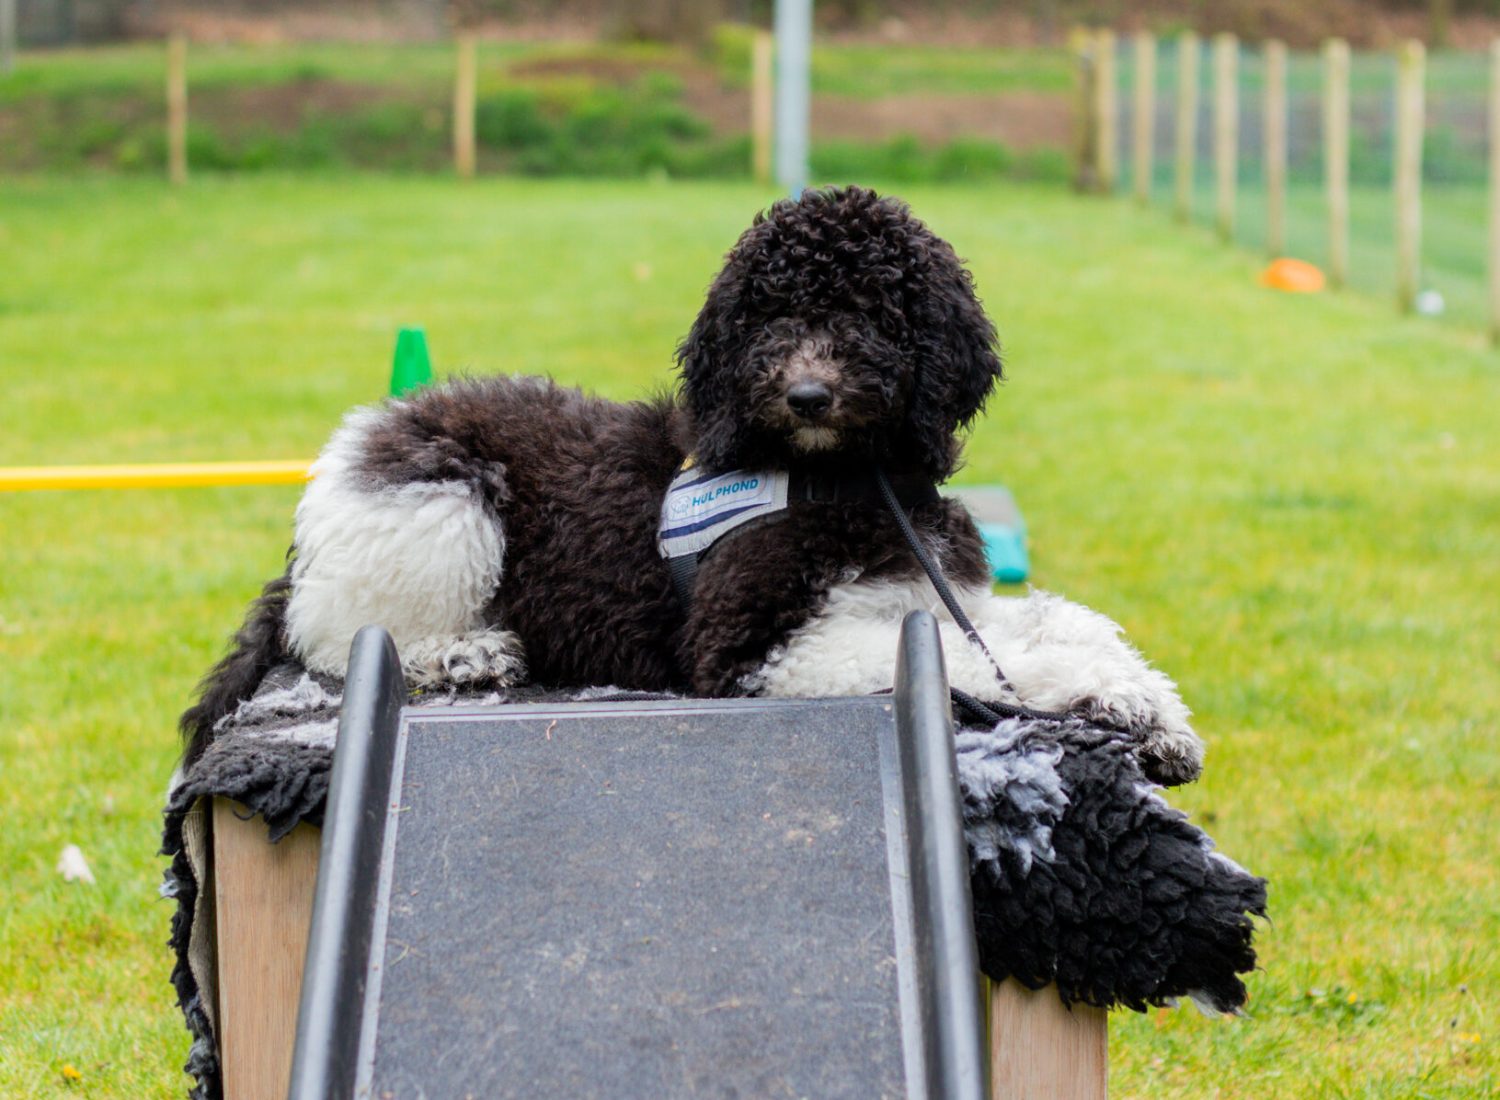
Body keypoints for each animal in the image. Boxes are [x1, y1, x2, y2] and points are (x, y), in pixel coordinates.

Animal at [181, 186, 1200, 780]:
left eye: (873, 313)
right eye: (770, 315)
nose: (807, 393)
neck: (843, 479)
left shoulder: (925, 586)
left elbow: (1052, 623)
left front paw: (1148, 706)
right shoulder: (755, 646)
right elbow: (979, 655)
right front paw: (1098, 693)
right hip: (445, 504)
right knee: (334, 635)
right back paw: (465, 654)